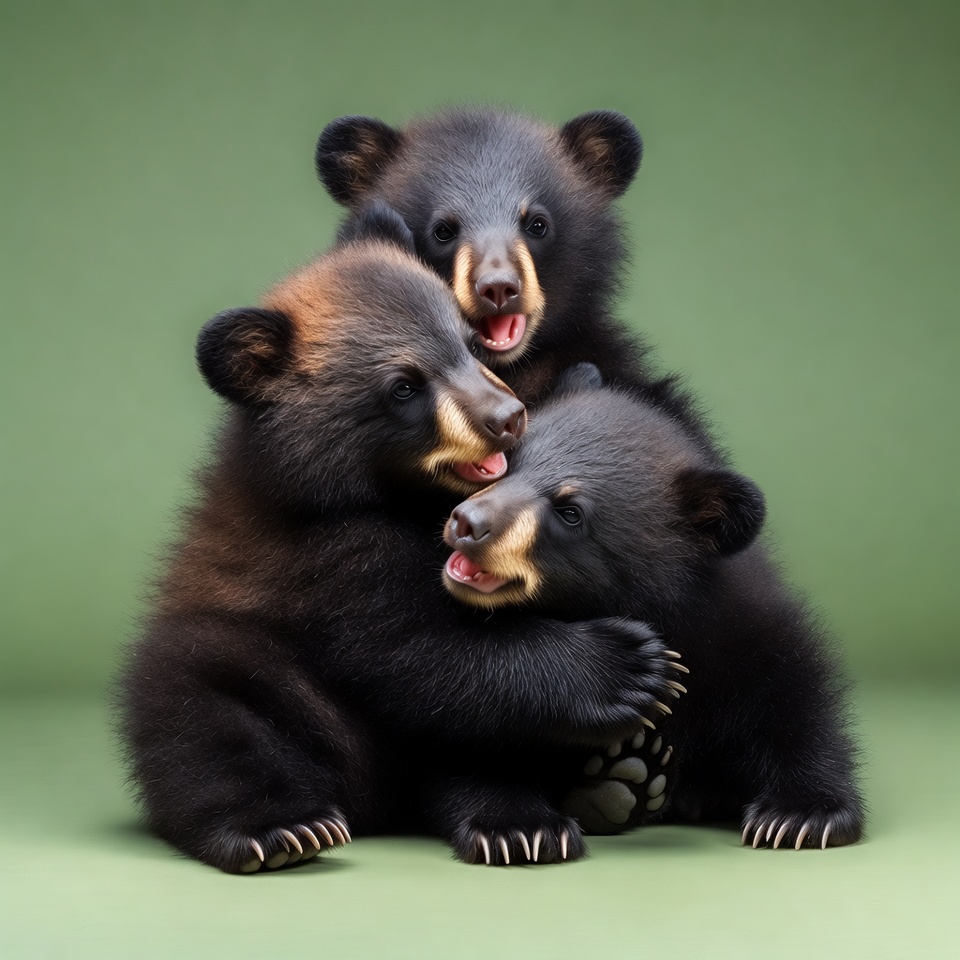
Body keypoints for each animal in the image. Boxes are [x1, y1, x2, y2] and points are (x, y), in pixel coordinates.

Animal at [117, 208, 683, 873]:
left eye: (469, 344)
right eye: (404, 388)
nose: (508, 417)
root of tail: (381, 802)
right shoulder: (323, 551)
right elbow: (418, 646)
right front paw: (626, 664)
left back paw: (566, 803)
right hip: (243, 674)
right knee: (204, 725)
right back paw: (282, 828)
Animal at [442, 366, 865, 850]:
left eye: (570, 512)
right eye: (510, 462)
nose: (467, 522)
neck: (655, 606)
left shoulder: (742, 628)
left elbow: (796, 697)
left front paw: (802, 814)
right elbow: (483, 734)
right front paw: (515, 825)